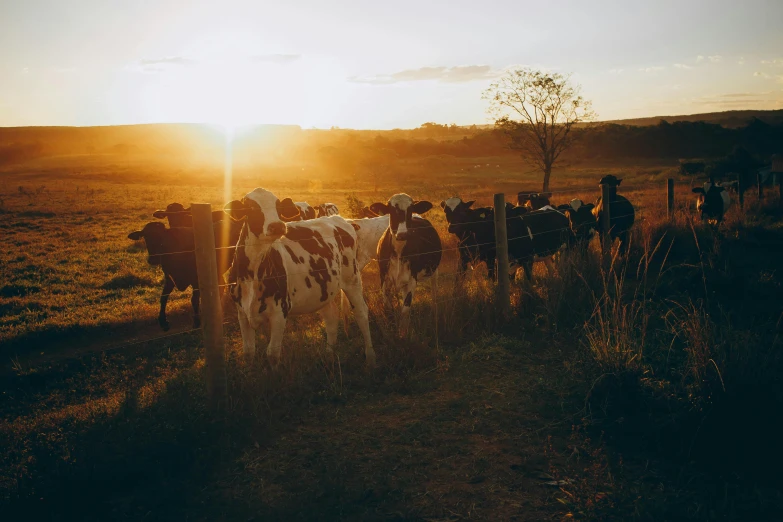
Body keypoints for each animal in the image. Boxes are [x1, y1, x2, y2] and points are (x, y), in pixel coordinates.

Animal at [224, 188, 376, 366]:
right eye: (252, 207)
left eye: (278, 206)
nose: (277, 225)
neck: (253, 273)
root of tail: (339, 219)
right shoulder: (242, 312)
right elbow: (248, 352)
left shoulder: (280, 311)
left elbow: (272, 353)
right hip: (324, 289)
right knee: (331, 317)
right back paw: (329, 356)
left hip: (352, 279)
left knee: (361, 313)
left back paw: (370, 358)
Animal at [368, 193, 440, 336]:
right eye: (391, 210)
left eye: (410, 209)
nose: (402, 234)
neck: (398, 251)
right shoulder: (384, 279)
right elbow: (388, 308)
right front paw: (393, 331)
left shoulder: (412, 279)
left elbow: (405, 309)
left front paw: (403, 334)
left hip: (434, 271)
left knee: (434, 294)